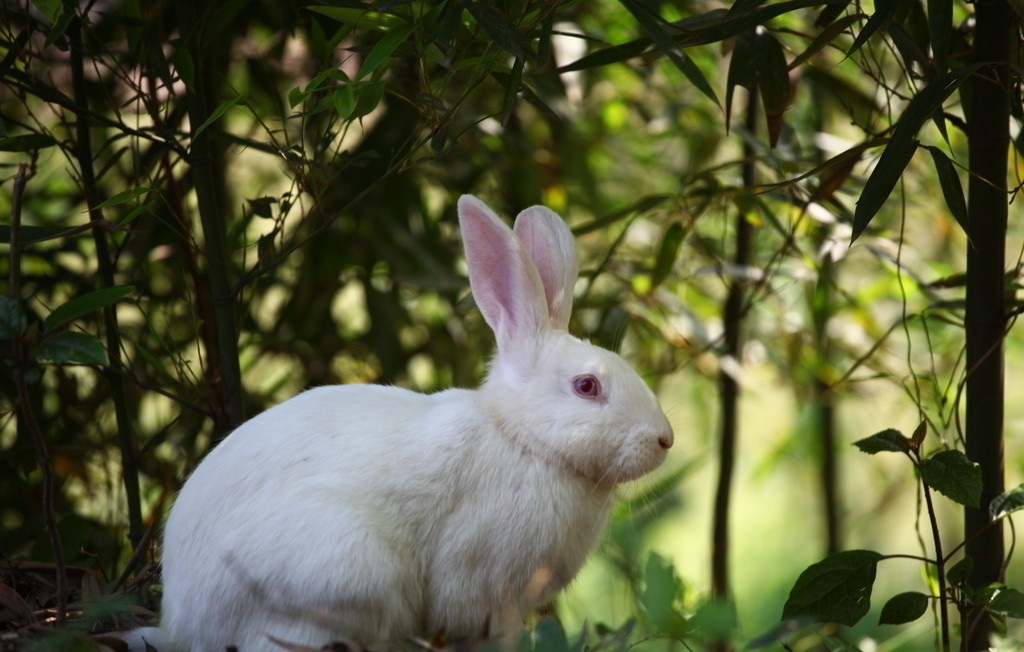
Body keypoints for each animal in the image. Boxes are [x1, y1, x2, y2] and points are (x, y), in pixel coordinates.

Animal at [144, 195, 671, 646]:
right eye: (587, 386)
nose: (665, 440)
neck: (522, 440)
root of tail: (182, 625)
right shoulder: (478, 587)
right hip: (339, 573)